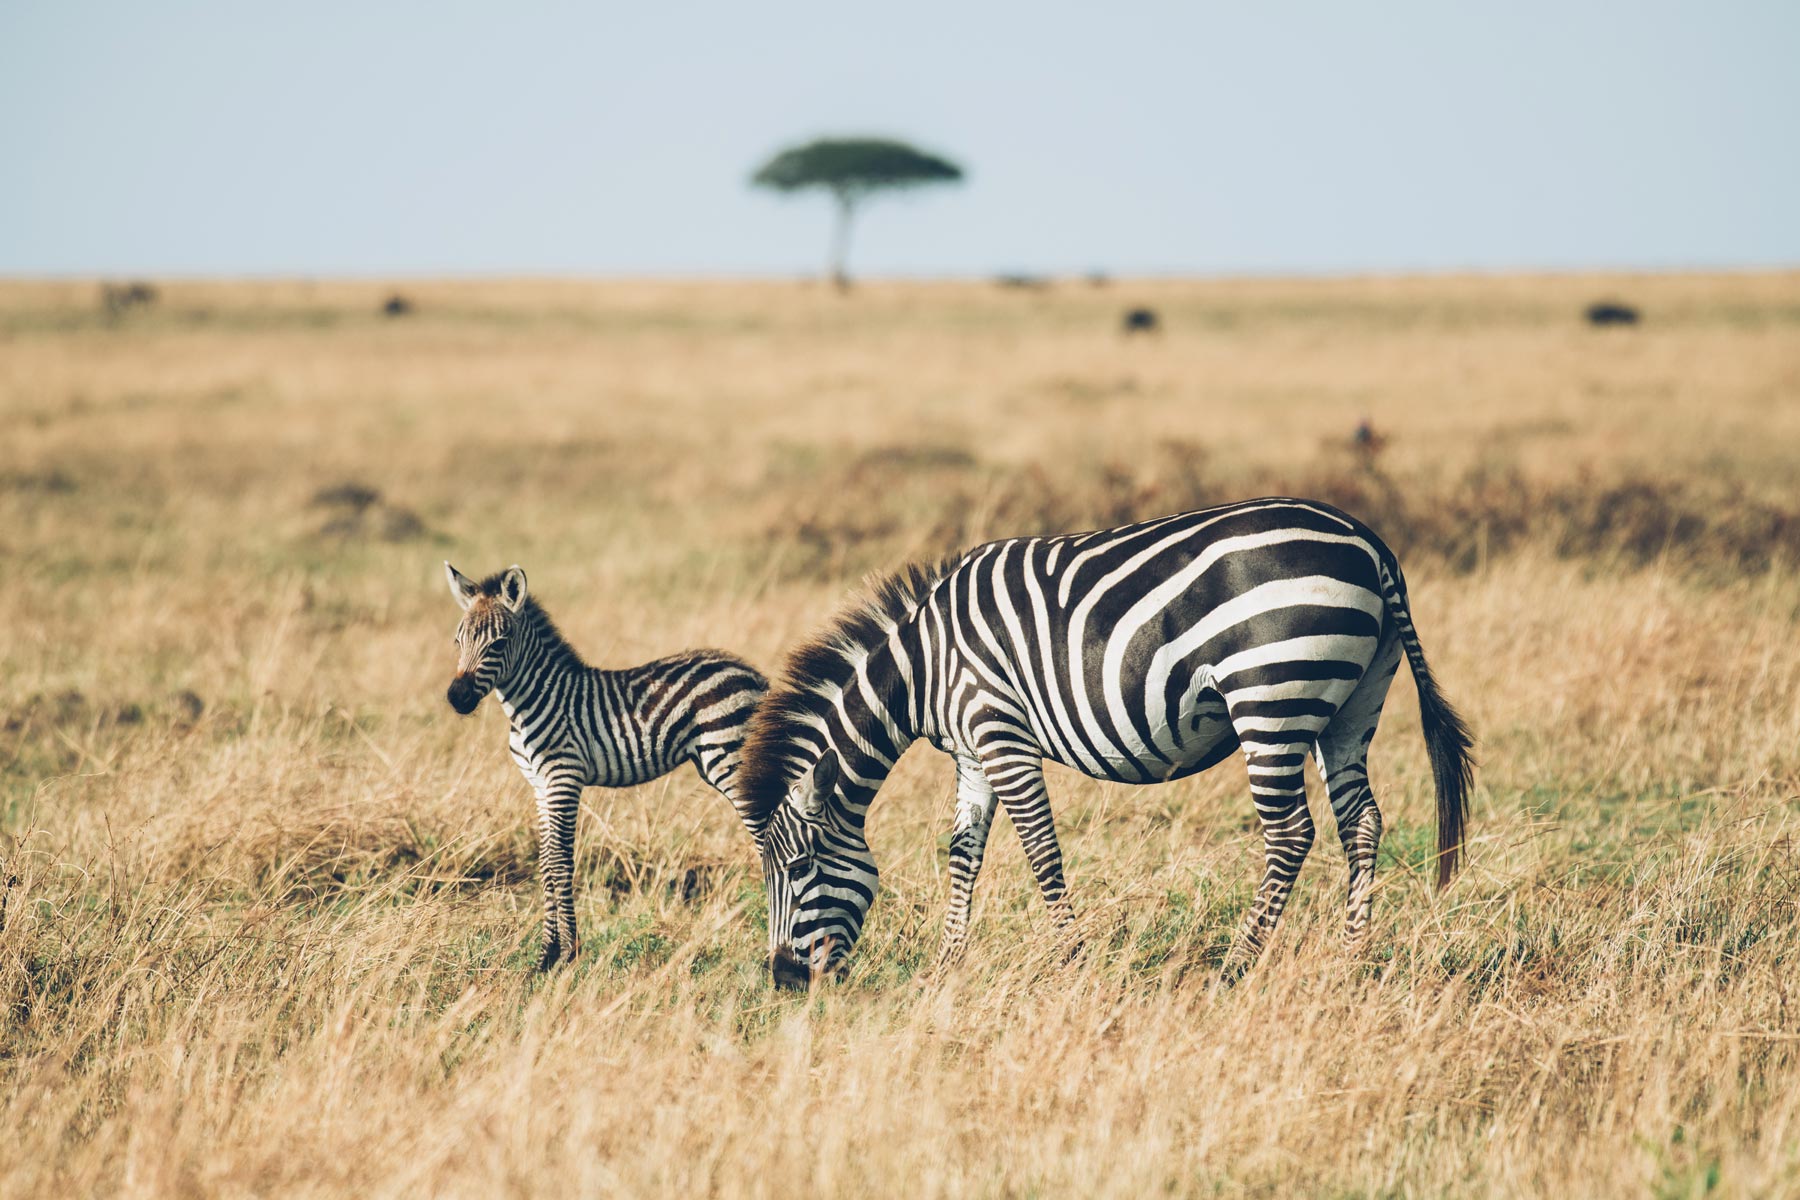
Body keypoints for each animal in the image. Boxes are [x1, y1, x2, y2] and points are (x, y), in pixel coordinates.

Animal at [446, 564, 770, 964]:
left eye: (499, 643)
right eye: (458, 641)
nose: (457, 697)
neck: (532, 700)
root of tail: (752, 674)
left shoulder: (563, 778)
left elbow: (560, 861)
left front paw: (568, 952)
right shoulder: (539, 786)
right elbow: (545, 864)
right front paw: (545, 956)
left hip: (731, 761)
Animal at [738, 503, 1468, 993]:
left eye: (799, 868)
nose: (784, 980)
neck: (927, 667)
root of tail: (1369, 543)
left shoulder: (1001, 732)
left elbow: (1040, 850)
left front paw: (1073, 962)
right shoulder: (972, 752)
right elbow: (963, 854)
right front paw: (944, 969)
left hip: (1271, 694)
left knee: (1291, 833)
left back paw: (1232, 970)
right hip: (1349, 704)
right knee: (1361, 822)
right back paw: (1351, 960)